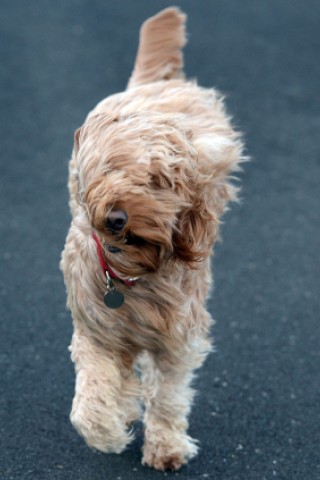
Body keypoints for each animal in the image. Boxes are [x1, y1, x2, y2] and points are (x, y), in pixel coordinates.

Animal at [60, 6, 244, 472]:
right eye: (109, 168)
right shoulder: (96, 328)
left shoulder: (177, 338)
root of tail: (151, 88)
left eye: (157, 181)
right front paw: (108, 429)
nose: (116, 217)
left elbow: (168, 395)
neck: (129, 273)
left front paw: (166, 447)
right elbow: (90, 400)